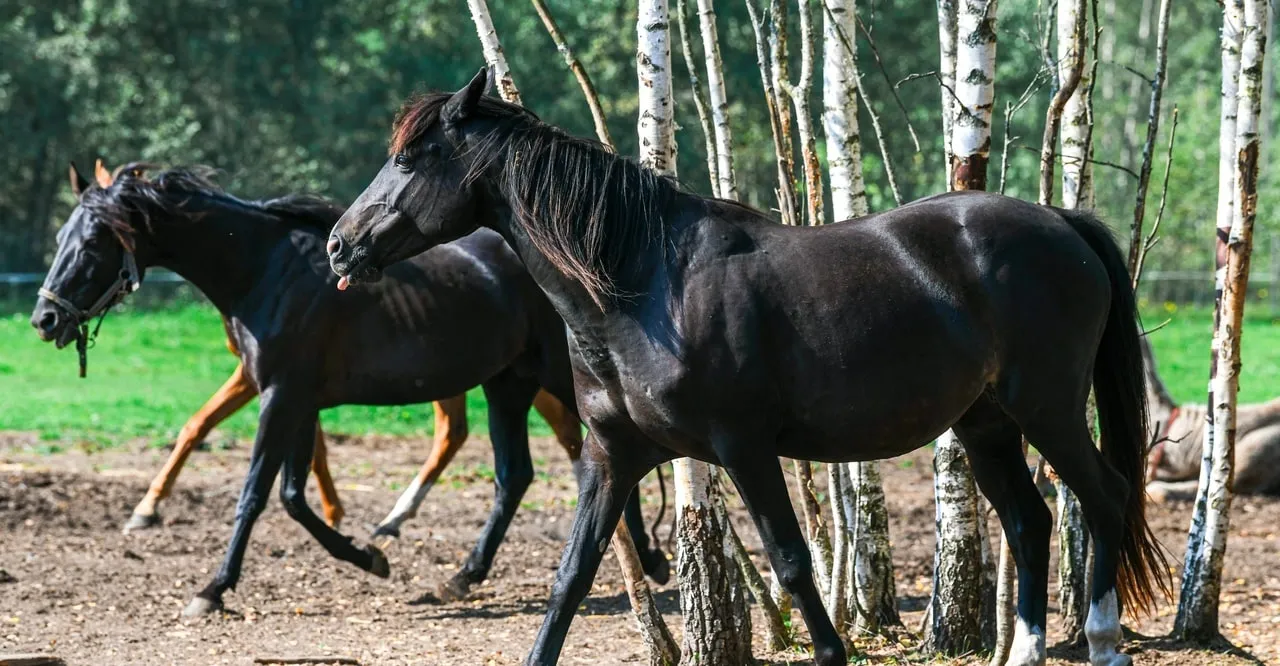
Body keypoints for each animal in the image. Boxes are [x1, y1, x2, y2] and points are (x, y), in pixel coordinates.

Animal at [30, 160, 669, 617]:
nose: (45, 318)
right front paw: (369, 556)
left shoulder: (280, 396)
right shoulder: (299, 401)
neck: (263, 271)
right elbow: (293, 496)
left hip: (553, 381)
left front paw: (212, 589)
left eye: (92, 243)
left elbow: (256, 494)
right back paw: (463, 575)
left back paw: (652, 560)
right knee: (514, 478)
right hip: (506, 385)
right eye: (59, 235)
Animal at [326, 68, 1171, 666]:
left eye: (413, 157)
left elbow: (793, 563)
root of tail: (1060, 221)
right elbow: (572, 576)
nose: (339, 245)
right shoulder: (612, 456)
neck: (645, 283)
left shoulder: (745, 449)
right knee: (1029, 522)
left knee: (1104, 497)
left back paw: (1103, 643)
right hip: (986, 425)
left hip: (1047, 408)